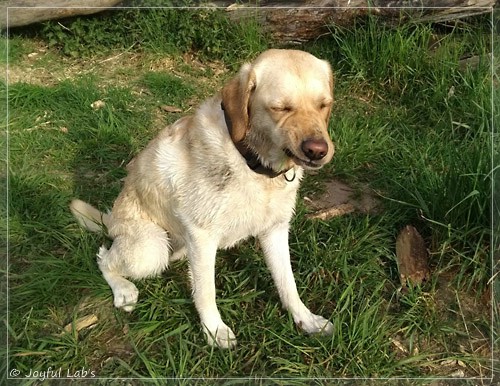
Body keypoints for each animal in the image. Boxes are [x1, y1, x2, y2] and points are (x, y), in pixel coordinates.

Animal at [70, 48, 336, 346]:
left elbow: (287, 283)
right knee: (103, 257)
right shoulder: (202, 236)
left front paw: (306, 319)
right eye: (280, 108)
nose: (318, 151)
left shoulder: (275, 231)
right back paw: (123, 290)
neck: (252, 162)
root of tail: (111, 219)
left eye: (324, 105)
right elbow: (207, 291)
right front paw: (214, 330)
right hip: (151, 249)